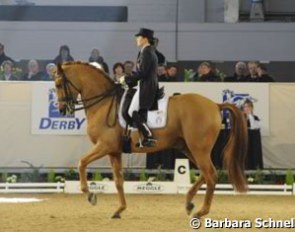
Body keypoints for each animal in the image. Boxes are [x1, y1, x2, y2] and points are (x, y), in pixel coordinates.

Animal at [53, 61, 250, 219]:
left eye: (58, 84)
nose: (62, 110)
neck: (103, 103)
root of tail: (215, 105)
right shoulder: (114, 151)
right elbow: (118, 181)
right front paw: (119, 210)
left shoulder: (104, 146)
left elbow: (81, 163)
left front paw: (90, 195)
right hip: (188, 148)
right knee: (207, 173)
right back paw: (189, 203)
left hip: (198, 149)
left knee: (211, 175)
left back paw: (201, 211)